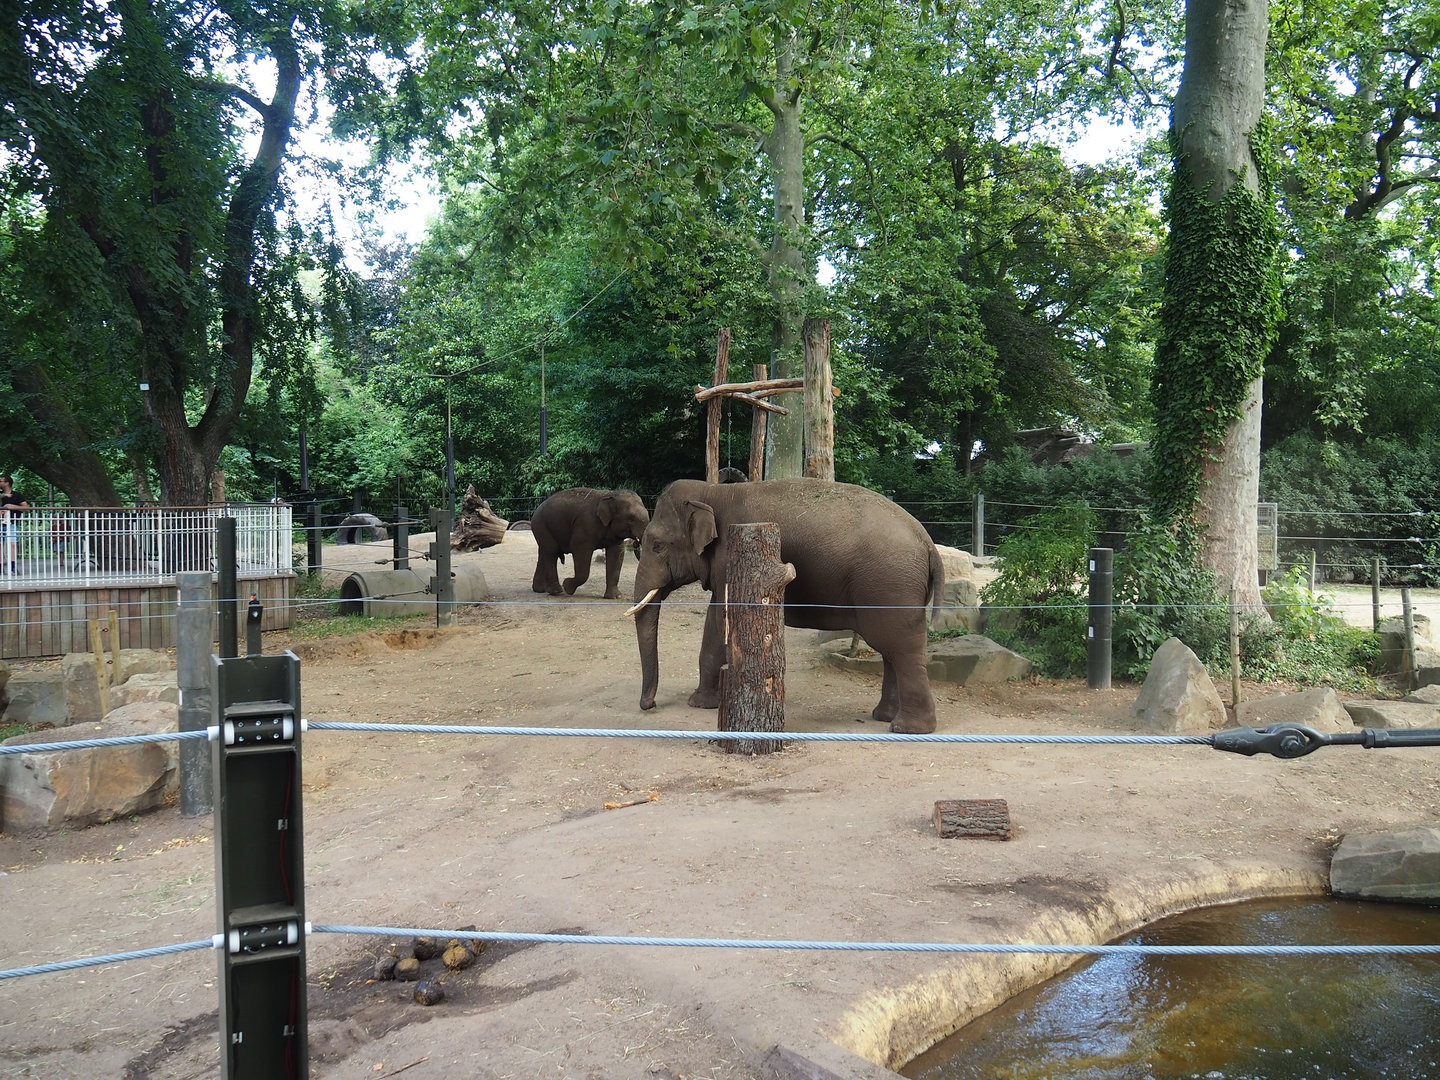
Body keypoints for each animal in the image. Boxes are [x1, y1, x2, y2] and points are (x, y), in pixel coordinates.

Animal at [627, 477, 944, 733]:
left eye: (657, 545)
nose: (650, 705)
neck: (712, 491)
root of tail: (928, 543)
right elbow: (714, 619)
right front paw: (700, 703)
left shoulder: (730, 554)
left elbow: (721, 619)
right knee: (892, 649)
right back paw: (884, 716)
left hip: (890, 586)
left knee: (901, 647)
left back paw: (907, 728)